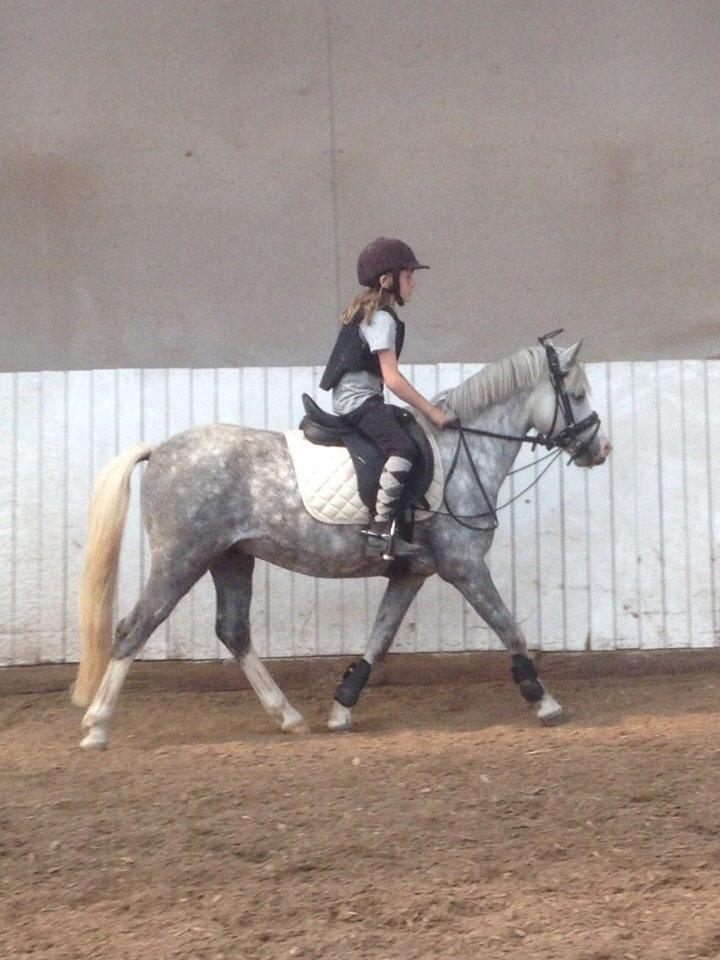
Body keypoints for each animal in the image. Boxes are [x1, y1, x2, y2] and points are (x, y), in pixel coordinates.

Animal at [72, 339, 611, 748]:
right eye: (578, 394)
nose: (600, 449)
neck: (463, 450)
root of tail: (159, 451)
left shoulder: (411, 572)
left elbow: (379, 637)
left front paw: (341, 709)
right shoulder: (464, 565)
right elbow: (508, 628)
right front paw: (546, 702)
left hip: (231, 558)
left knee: (233, 631)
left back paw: (289, 717)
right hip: (181, 558)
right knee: (134, 628)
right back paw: (96, 727)